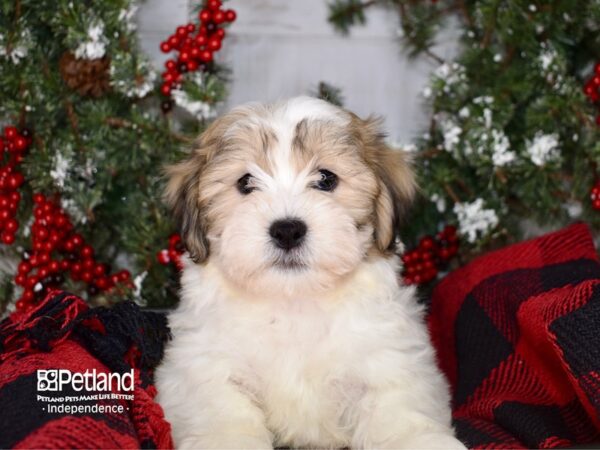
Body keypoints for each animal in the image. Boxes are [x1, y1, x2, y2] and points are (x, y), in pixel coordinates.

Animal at [155, 96, 464, 448]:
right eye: (245, 182)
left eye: (326, 179)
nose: (287, 230)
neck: (294, 300)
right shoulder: (206, 363)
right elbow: (223, 409)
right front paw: (228, 439)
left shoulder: (386, 357)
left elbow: (395, 408)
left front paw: (417, 440)